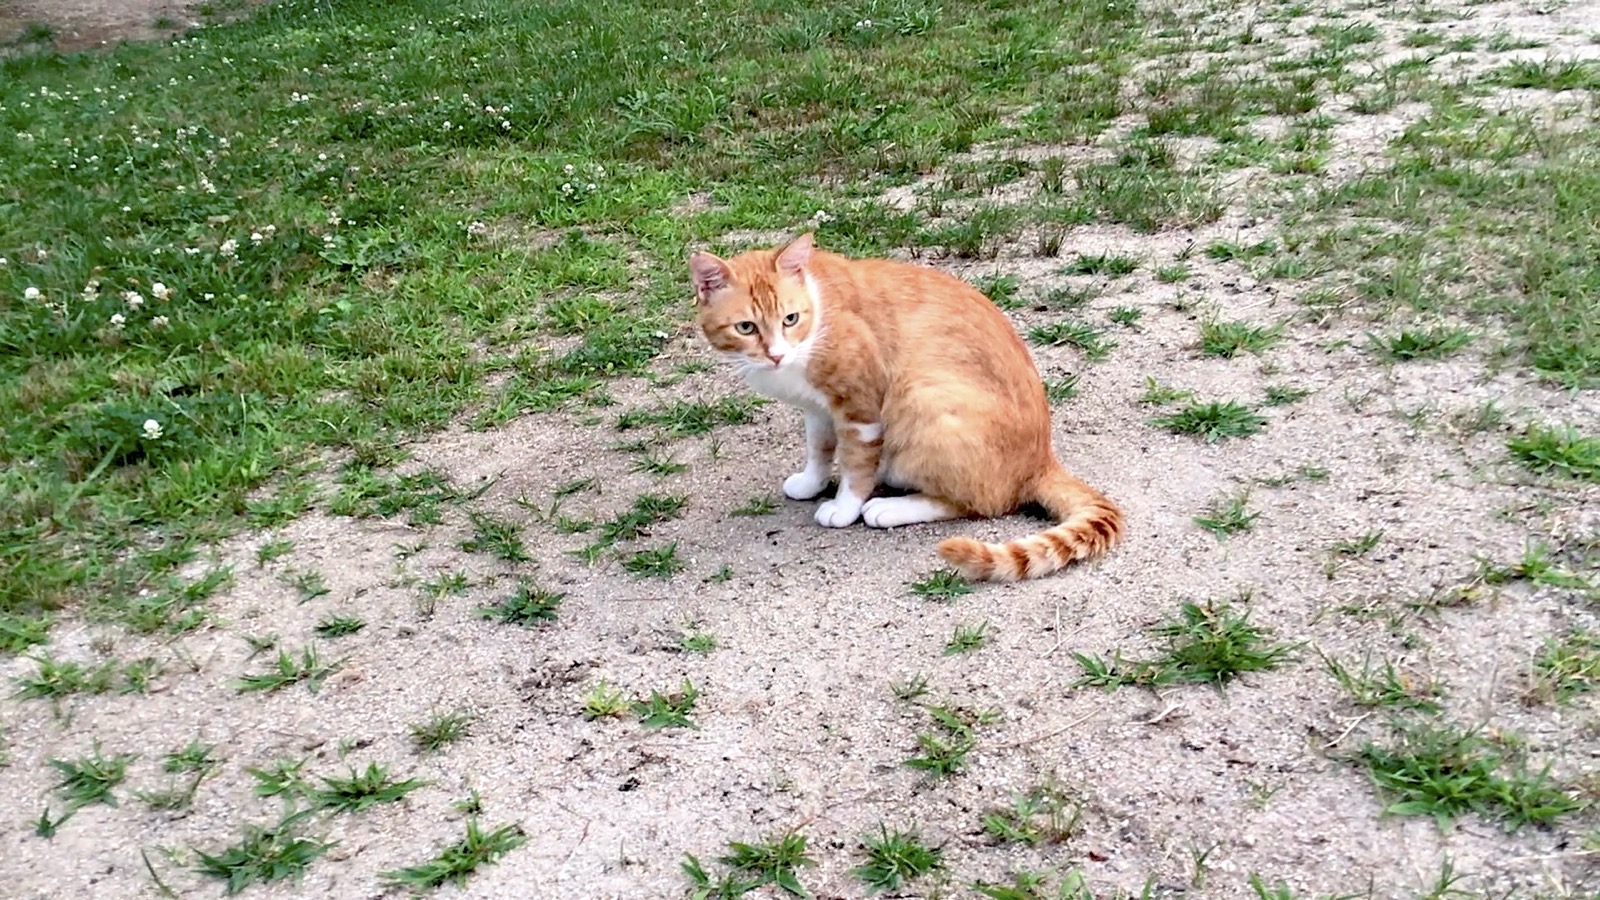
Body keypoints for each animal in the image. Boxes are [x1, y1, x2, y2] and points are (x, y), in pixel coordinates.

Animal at [691, 235, 1126, 576]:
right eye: (746, 327)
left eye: (790, 319)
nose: (776, 355)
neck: (816, 323)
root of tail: (1042, 459)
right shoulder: (818, 408)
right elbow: (819, 448)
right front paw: (811, 483)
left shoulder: (860, 407)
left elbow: (855, 465)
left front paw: (843, 507)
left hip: (922, 394)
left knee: (979, 504)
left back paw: (889, 509)